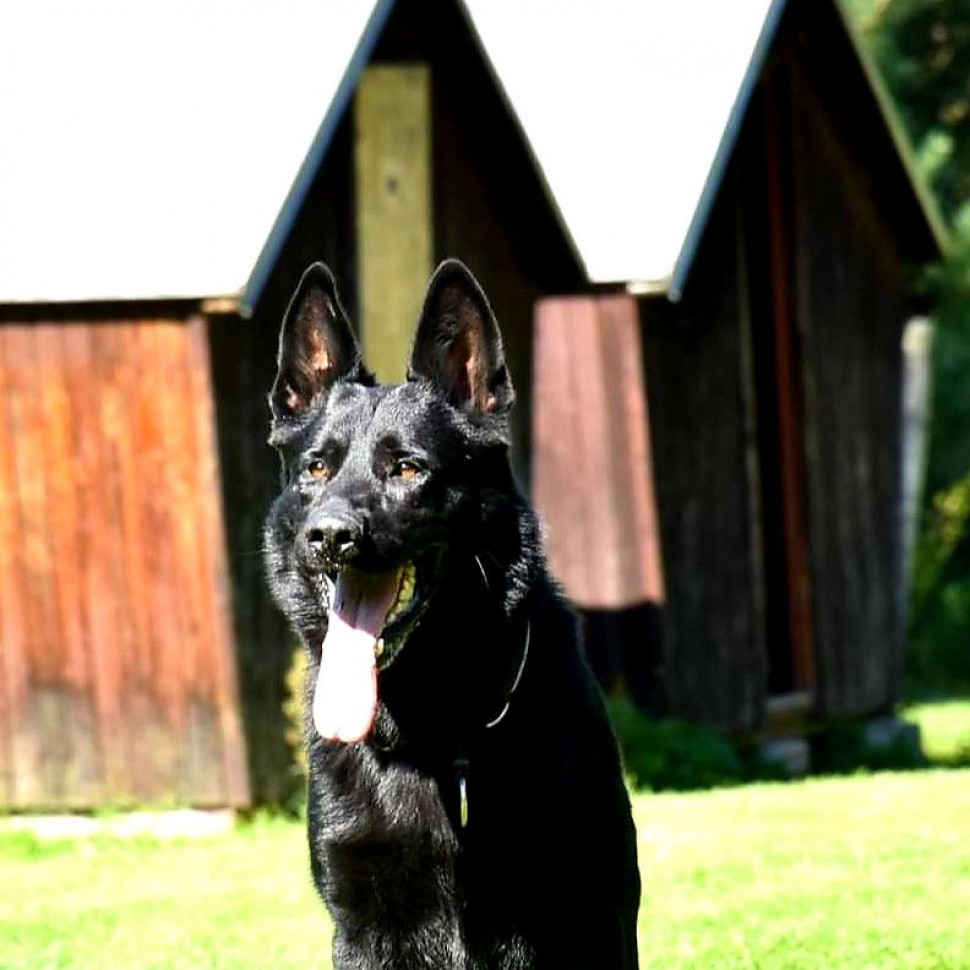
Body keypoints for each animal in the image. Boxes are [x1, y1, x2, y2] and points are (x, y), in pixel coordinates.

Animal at [264, 260, 640, 968]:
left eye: (409, 469)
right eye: (317, 468)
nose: (330, 536)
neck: (436, 729)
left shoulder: (591, 912)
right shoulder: (360, 924)